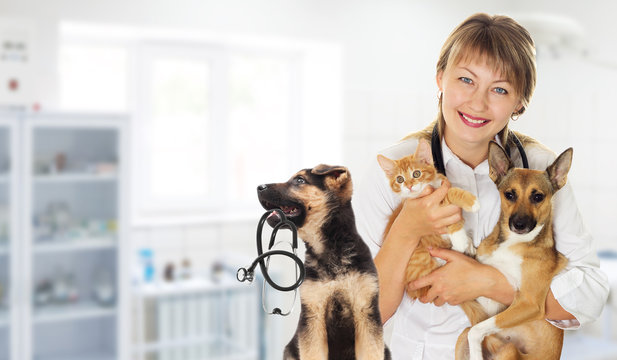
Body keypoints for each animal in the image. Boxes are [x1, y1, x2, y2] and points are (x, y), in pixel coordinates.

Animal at [376, 138, 486, 324]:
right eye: (399, 179)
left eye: (416, 174)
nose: (409, 186)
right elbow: (449, 196)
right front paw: (471, 204)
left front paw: (465, 239)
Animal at [454, 141, 572, 360]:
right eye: (510, 194)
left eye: (538, 196)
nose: (519, 224)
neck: (513, 242)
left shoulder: (529, 303)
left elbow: (477, 329)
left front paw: (476, 354)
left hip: (509, 349)